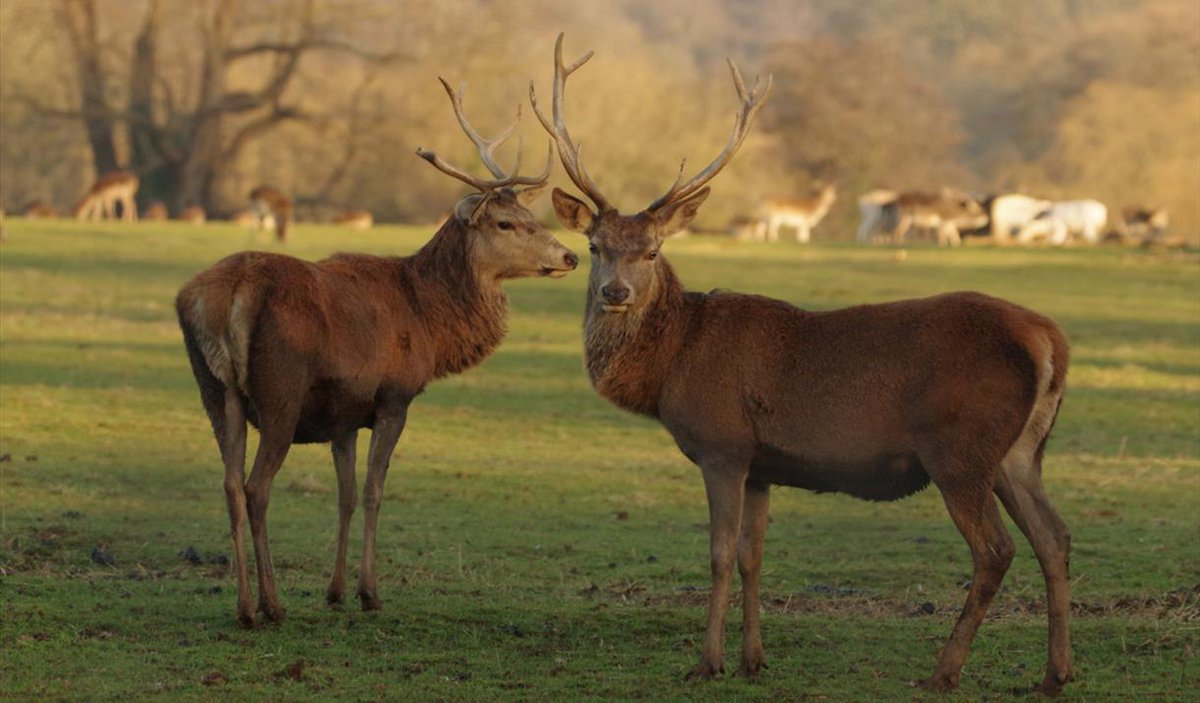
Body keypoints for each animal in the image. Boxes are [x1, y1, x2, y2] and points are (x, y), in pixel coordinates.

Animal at [175, 75, 578, 623]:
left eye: (529, 213)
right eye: (505, 223)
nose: (570, 255)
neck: (429, 319)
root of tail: (228, 294)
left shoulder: (343, 414)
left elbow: (344, 496)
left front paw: (335, 590)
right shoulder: (393, 396)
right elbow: (373, 492)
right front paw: (369, 592)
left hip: (216, 393)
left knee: (231, 485)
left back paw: (244, 607)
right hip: (280, 391)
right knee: (257, 487)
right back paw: (272, 605)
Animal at [530, 31, 1075, 691]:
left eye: (653, 250)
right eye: (594, 246)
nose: (616, 292)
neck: (671, 364)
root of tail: (1048, 340)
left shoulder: (722, 444)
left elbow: (718, 555)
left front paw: (707, 662)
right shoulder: (762, 465)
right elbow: (752, 557)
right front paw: (753, 659)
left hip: (959, 449)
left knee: (996, 549)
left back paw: (943, 672)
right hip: (1020, 452)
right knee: (1055, 538)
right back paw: (1055, 674)